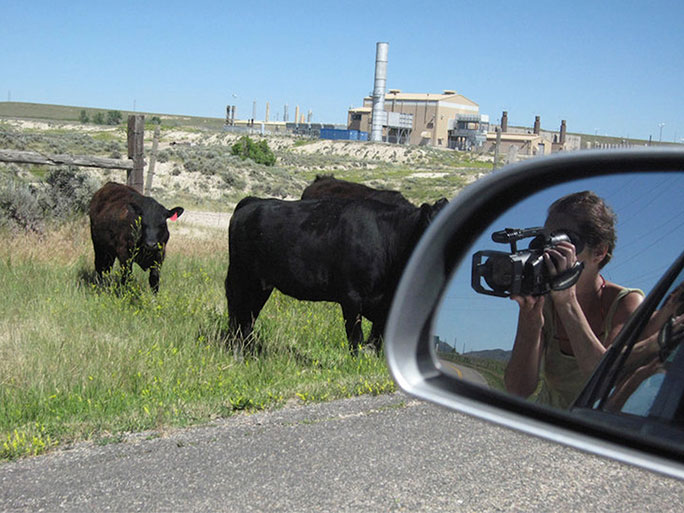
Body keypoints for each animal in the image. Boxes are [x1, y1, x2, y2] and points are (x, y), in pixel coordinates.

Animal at [226, 195, 448, 352]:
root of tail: (252, 201)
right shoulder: (351, 297)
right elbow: (355, 336)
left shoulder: (386, 304)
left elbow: (378, 338)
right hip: (241, 277)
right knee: (237, 313)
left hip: (262, 285)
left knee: (249, 317)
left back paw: (249, 350)